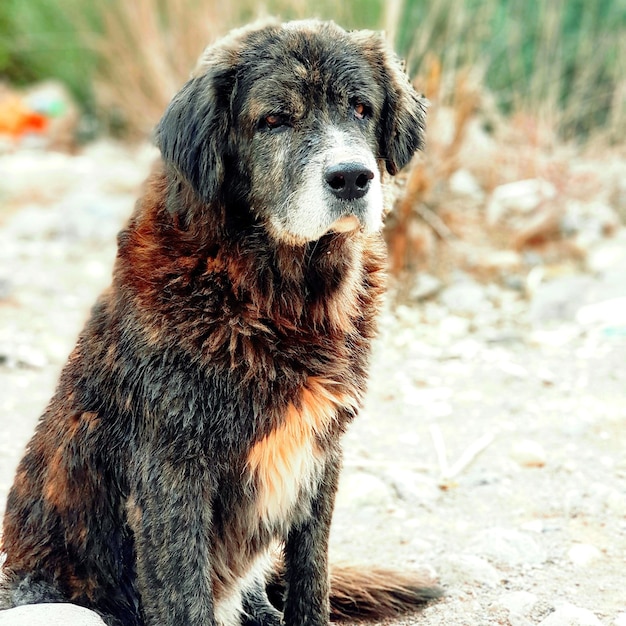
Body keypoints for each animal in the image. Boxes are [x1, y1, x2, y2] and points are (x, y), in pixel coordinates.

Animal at [1, 19, 438, 624]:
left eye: (360, 108)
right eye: (273, 119)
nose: (352, 178)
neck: (276, 298)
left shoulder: (322, 458)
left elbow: (311, 577)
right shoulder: (173, 471)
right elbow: (184, 595)